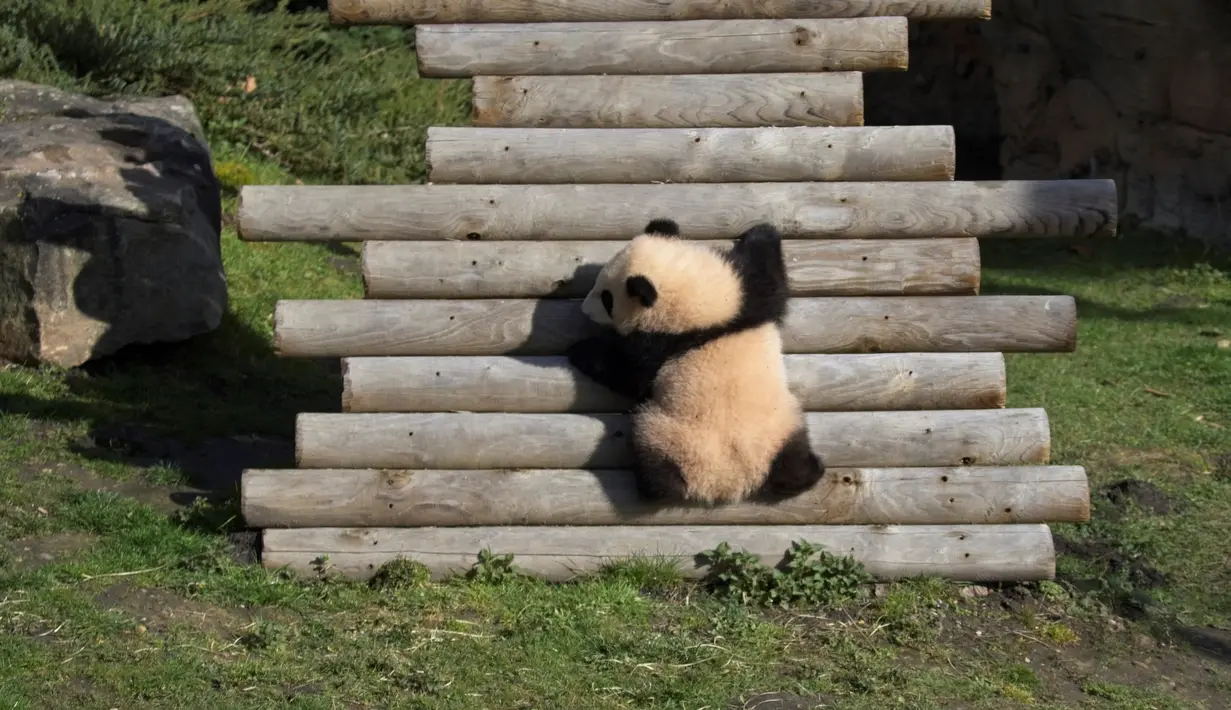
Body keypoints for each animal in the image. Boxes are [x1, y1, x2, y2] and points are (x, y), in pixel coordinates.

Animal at [566, 217, 825, 505]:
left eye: (607, 299)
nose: (584, 309)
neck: (703, 313)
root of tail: (729, 483)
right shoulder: (746, 302)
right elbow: (768, 280)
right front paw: (762, 229)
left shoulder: (660, 345)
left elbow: (629, 374)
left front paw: (581, 350)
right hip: (778, 430)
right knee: (794, 461)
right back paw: (807, 474)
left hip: (670, 435)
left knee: (658, 470)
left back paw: (650, 487)